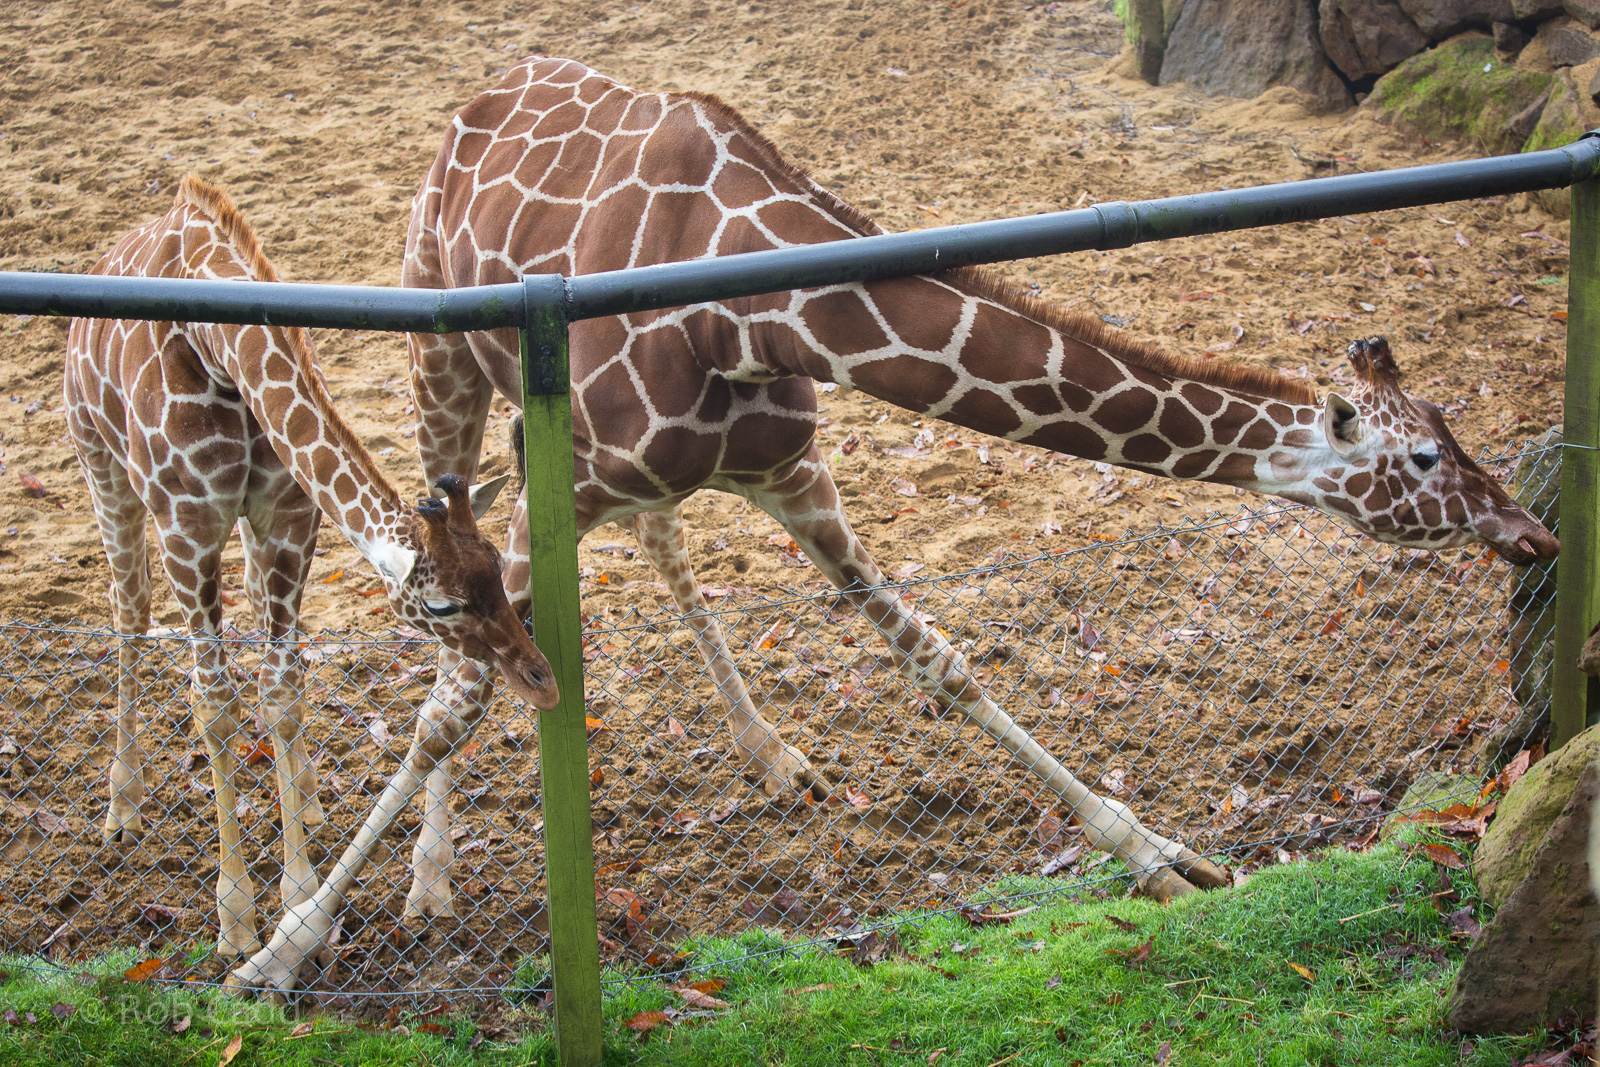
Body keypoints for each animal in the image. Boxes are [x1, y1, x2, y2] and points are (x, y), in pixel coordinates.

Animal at [64, 174, 558, 962]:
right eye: (443, 606)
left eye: (495, 571)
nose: (541, 682)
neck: (217, 344)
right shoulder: (185, 528)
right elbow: (215, 703)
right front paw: (238, 920)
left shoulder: (289, 518)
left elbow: (283, 690)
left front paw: (297, 897)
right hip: (101, 466)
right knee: (128, 610)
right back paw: (123, 804)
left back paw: (313, 799)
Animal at [230, 57, 1560, 994]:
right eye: (1425, 454)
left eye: (1451, 427)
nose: (1531, 533)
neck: (752, 308)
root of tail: (470, 110)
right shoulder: (582, 477)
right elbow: (455, 690)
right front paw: (280, 951)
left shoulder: (788, 473)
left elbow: (939, 659)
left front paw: (1159, 854)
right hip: (443, 365)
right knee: (438, 576)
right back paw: (423, 879)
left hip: (583, 452)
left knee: (655, 549)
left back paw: (773, 755)